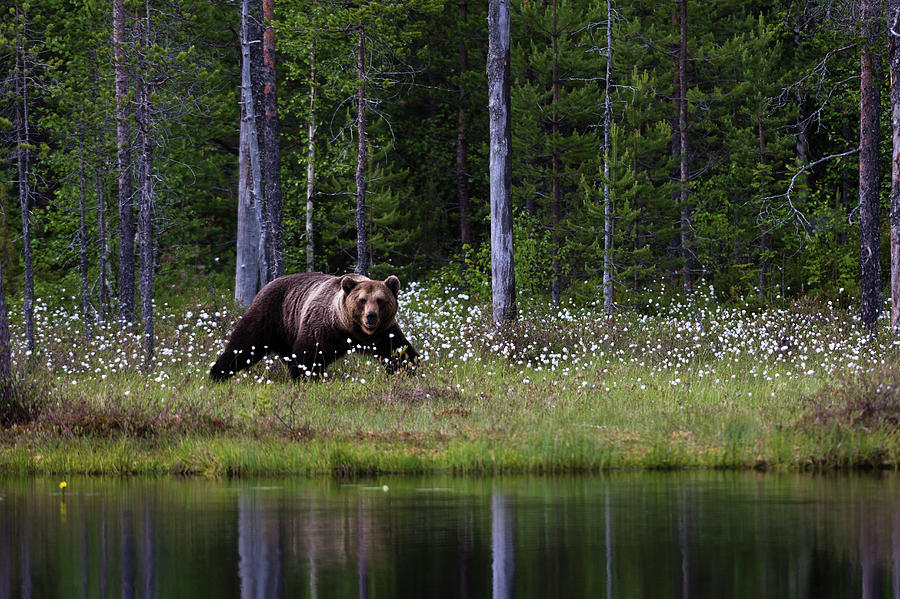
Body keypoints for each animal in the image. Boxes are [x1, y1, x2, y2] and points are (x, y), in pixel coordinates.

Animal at [211, 272, 418, 380]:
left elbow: (399, 352)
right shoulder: (325, 328)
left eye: (380, 300)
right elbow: (309, 355)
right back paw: (218, 373)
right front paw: (305, 377)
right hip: (271, 315)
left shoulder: (384, 332)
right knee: (244, 344)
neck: (354, 331)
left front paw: (410, 370)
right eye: (362, 300)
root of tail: (266, 285)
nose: (371, 316)